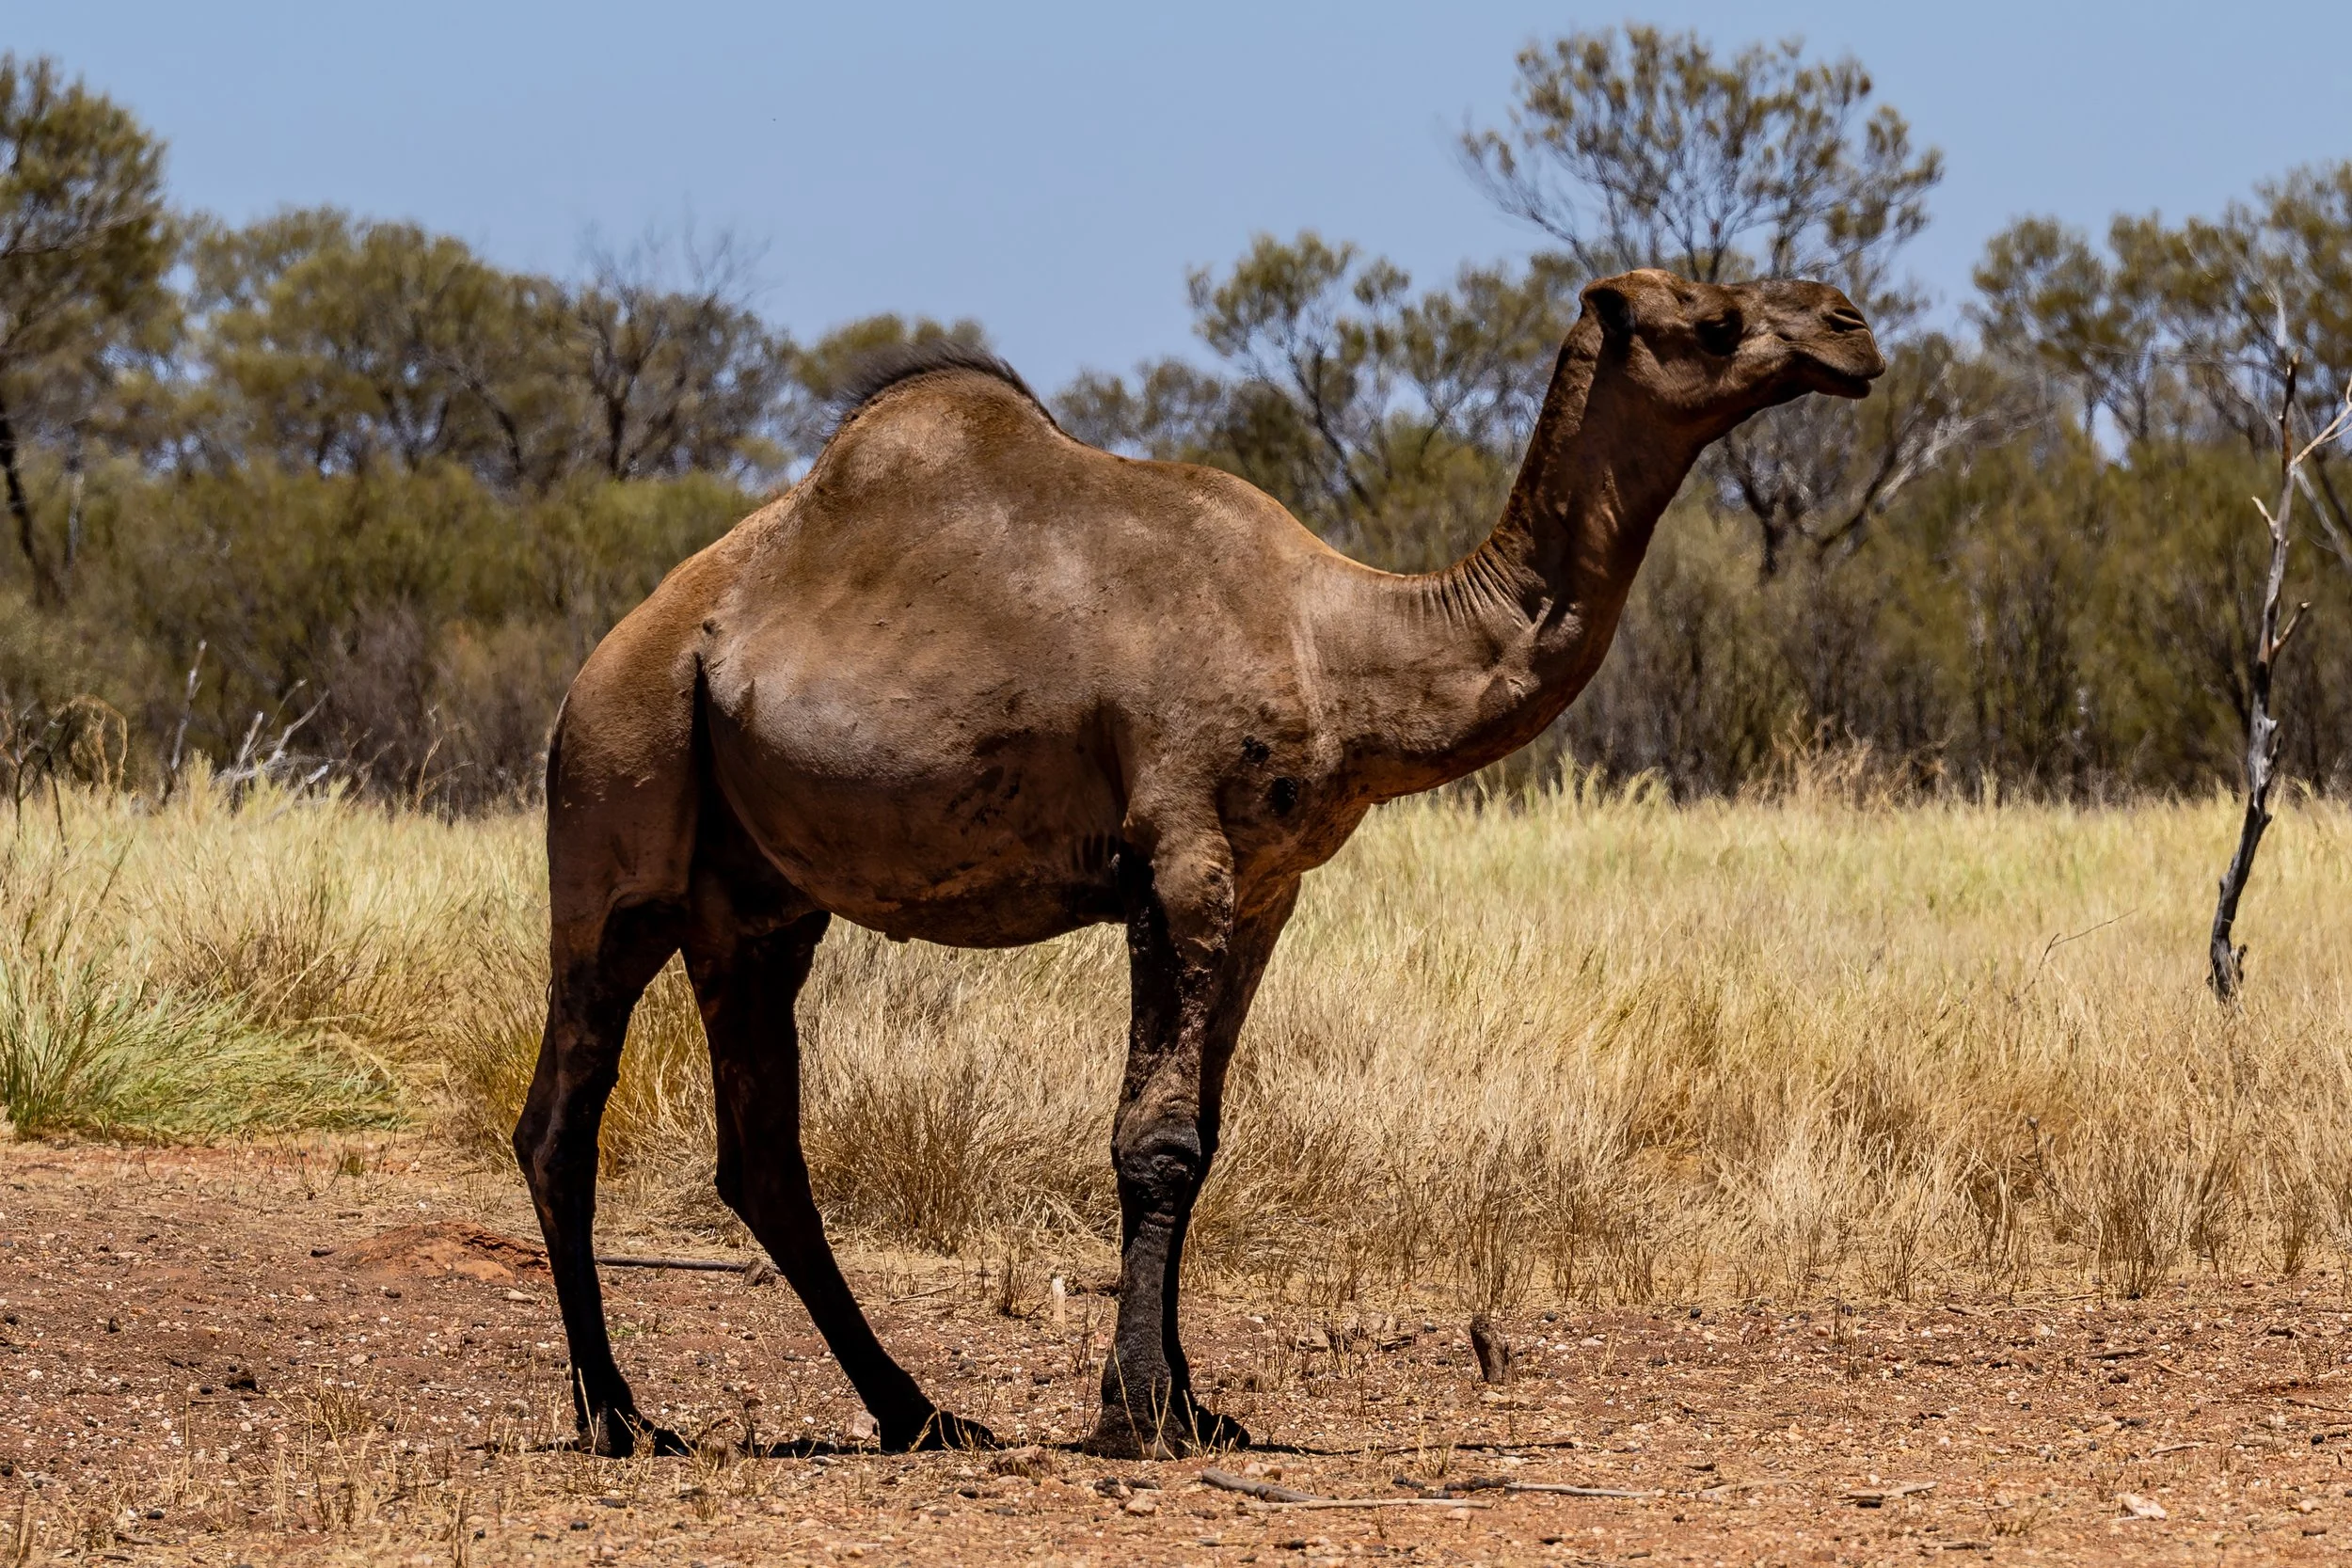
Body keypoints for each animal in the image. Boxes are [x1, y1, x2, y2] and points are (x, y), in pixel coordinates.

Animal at [515, 267, 1883, 1459]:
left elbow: (1205, 1134)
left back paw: (919, 1412)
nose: (1851, 325)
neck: (1338, 641)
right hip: (617, 815)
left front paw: (1188, 1401)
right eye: (1710, 318)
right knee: (561, 1119)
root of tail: (606, 659)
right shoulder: (1180, 853)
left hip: (757, 907)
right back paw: (623, 1417)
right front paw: (1139, 1414)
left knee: (761, 1149)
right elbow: (1156, 1139)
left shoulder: (1269, 882)